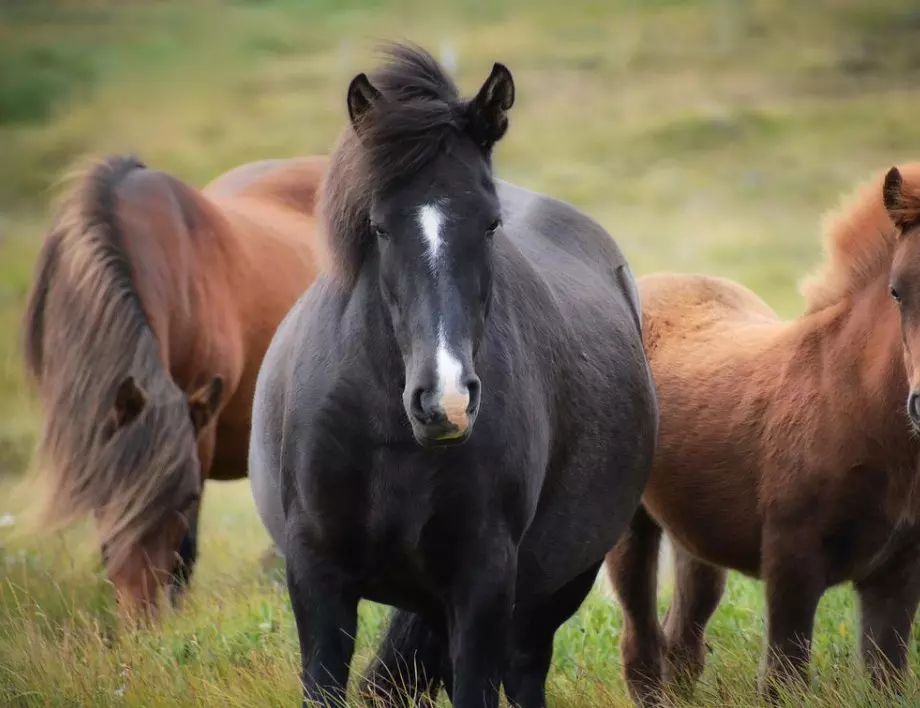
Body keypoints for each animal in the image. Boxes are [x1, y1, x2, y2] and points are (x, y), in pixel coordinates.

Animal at [248, 44, 656, 708]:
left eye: (490, 224)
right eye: (379, 226)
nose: (446, 402)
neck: (388, 432)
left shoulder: (483, 582)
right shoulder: (317, 575)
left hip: (554, 588)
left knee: (524, 670)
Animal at [604, 162, 920, 708]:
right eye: (896, 290)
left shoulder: (896, 576)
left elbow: (887, 680)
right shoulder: (791, 561)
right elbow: (783, 679)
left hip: (696, 536)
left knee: (682, 639)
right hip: (630, 526)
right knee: (640, 645)